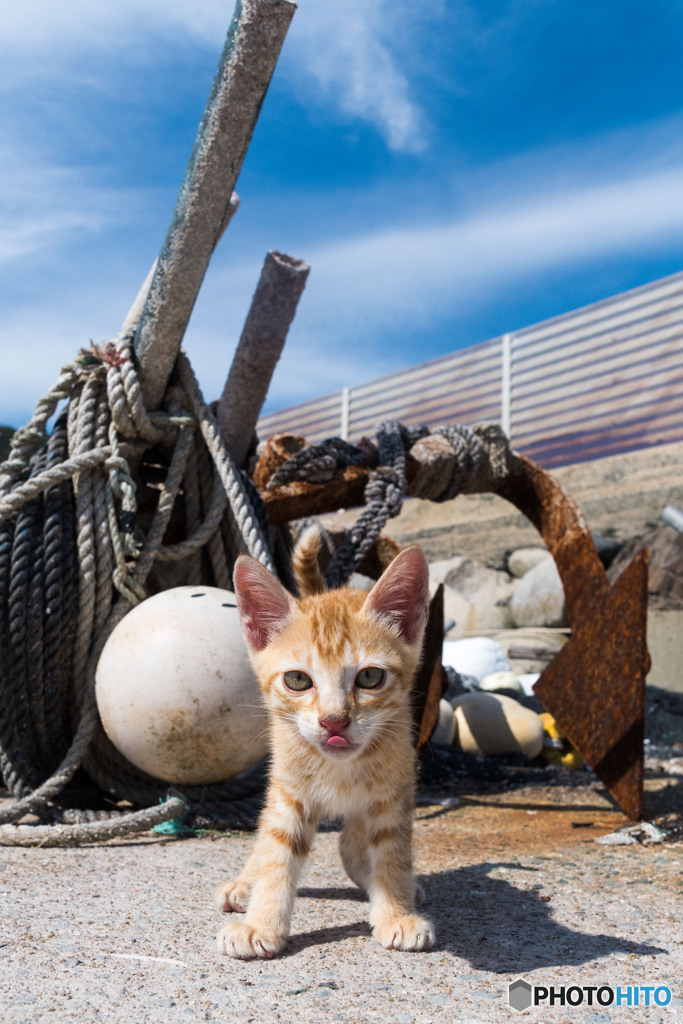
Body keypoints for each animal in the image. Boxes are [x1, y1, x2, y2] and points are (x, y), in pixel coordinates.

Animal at [216, 532, 436, 954]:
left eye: (370, 677)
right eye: (297, 680)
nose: (334, 720)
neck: (340, 769)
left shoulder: (394, 793)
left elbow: (390, 852)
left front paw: (395, 911)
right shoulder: (288, 793)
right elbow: (277, 850)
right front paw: (261, 923)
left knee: (351, 846)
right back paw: (246, 884)